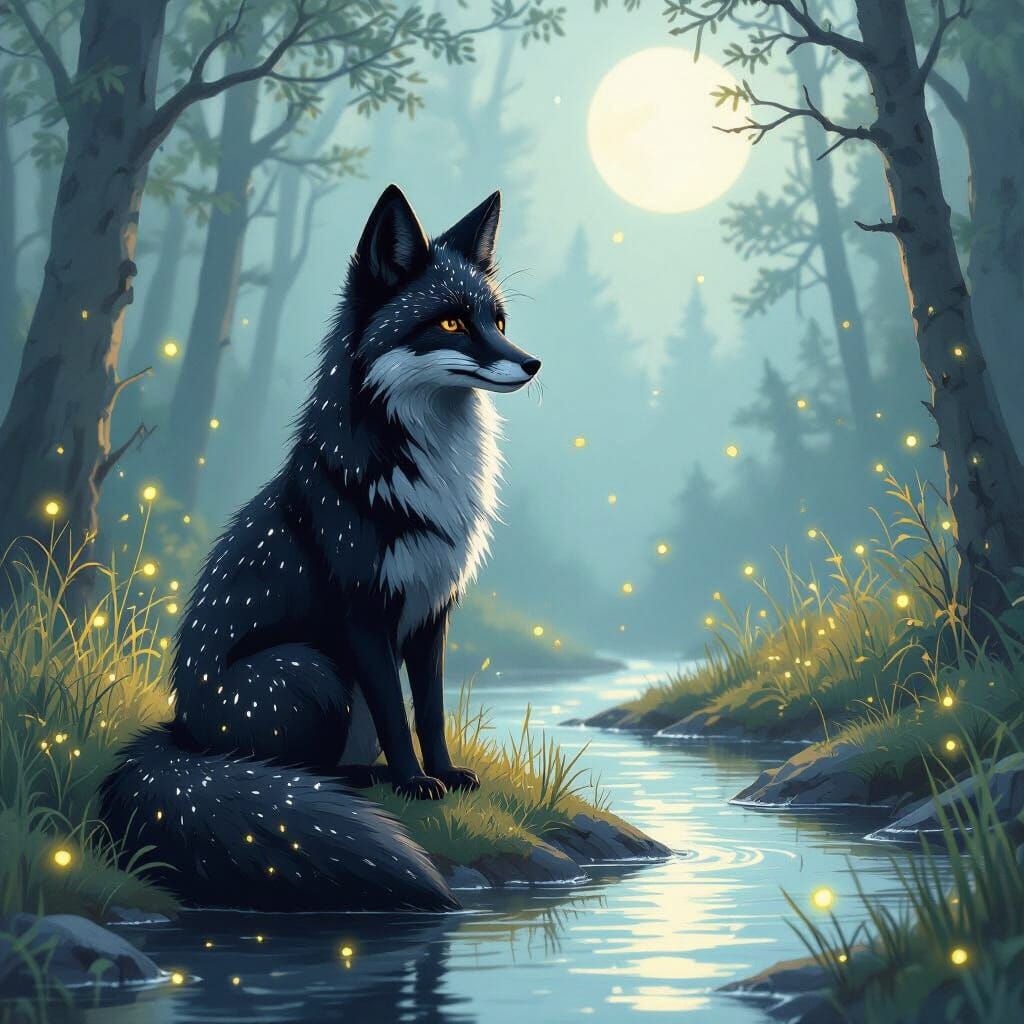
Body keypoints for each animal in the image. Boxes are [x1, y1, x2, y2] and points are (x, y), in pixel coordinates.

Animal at [101, 185, 541, 912]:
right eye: (451, 324)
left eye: (497, 319)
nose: (532, 363)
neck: (426, 478)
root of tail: (182, 731)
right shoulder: (363, 609)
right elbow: (396, 711)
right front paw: (414, 783)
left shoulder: (433, 611)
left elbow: (430, 710)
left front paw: (445, 774)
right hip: (313, 669)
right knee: (280, 766)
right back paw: (357, 783)